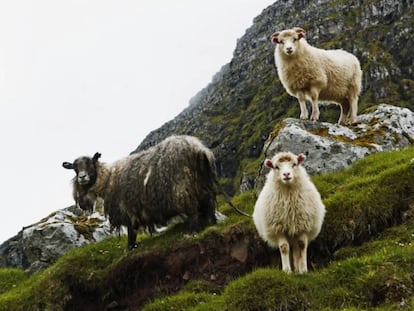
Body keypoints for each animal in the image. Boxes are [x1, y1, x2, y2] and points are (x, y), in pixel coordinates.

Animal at [62, 135, 217, 250]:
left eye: (90, 163)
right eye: (75, 168)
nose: (82, 177)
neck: (108, 178)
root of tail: (198, 148)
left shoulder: (127, 208)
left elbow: (132, 230)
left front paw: (130, 247)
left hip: (183, 188)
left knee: (193, 212)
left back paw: (193, 232)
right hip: (203, 186)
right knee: (209, 205)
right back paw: (211, 223)